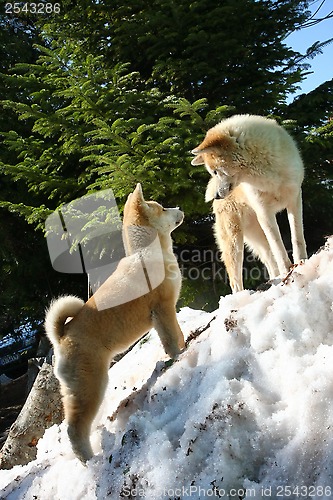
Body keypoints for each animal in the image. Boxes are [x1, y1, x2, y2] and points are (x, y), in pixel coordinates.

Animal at [44, 186, 184, 462]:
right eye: (162, 208)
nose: (180, 209)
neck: (147, 253)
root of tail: (61, 337)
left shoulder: (167, 311)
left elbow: (179, 334)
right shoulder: (163, 310)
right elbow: (172, 339)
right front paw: (179, 356)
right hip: (90, 385)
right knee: (74, 429)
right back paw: (90, 460)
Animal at [191, 114, 308, 292]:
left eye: (216, 172)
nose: (217, 196)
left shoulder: (294, 200)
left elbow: (297, 237)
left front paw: (302, 263)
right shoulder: (265, 213)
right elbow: (279, 248)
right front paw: (288, 270)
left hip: (258, 238)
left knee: (270, 263)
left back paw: (275, 280)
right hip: (234, 242)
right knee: (235, 282)